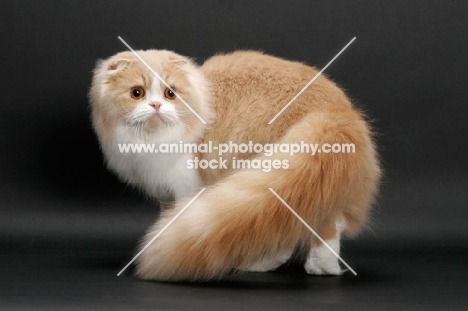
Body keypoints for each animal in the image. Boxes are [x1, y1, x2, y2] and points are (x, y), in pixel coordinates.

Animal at [88, 49, 380, 282]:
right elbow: (167, 219)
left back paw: (319, 268)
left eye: (171, 93)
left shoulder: (186, 186)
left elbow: (180, 218)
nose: (157, 105)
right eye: (137, 93)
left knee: (323, 227)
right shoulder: (166, 194)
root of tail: (336, 114)